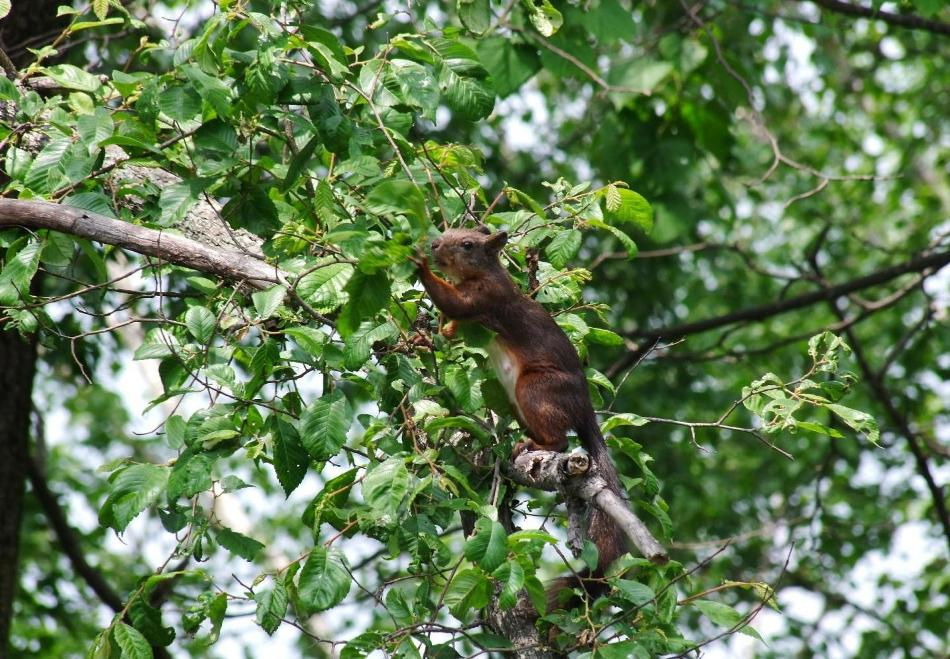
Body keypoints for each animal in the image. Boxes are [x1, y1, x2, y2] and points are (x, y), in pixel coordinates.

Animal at [414, 226, 628, 609]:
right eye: (449, 230)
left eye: (467, 244)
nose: (435, 244)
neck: (485, 272)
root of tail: (584, 409)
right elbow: (453, 316)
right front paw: (445, 330)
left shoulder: (488, 297)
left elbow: (456, 303)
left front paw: (421, 265)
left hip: (535, 390)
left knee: (560, 441)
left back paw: (532, 445)